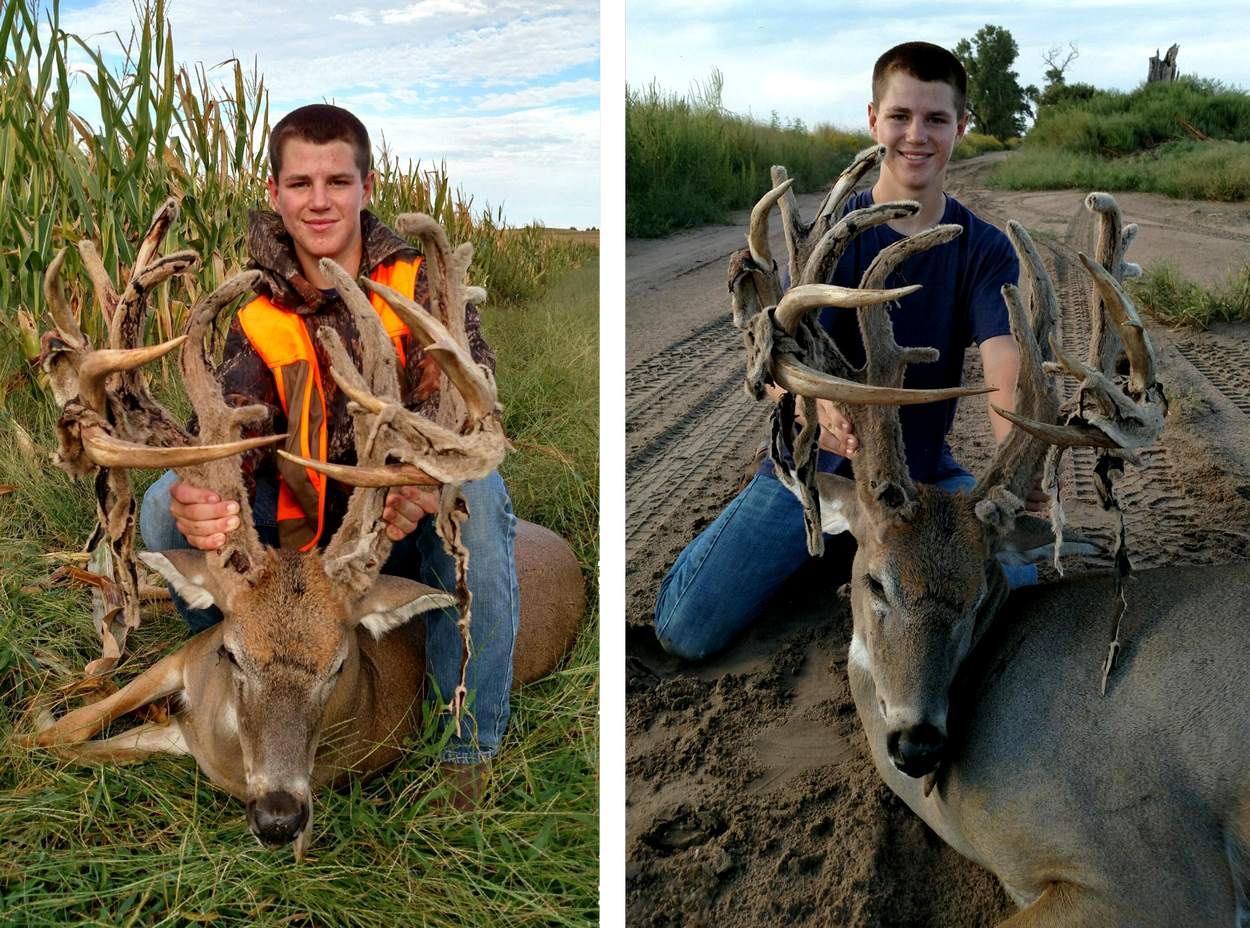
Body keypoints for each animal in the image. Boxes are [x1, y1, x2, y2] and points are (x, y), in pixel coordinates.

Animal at [28, 200, 585, 860]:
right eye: (232, 654)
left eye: (338, 665)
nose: (278, 817)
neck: (219, 744)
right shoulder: (181, 661)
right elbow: (58, 736)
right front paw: (54, 702)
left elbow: (72, 742)